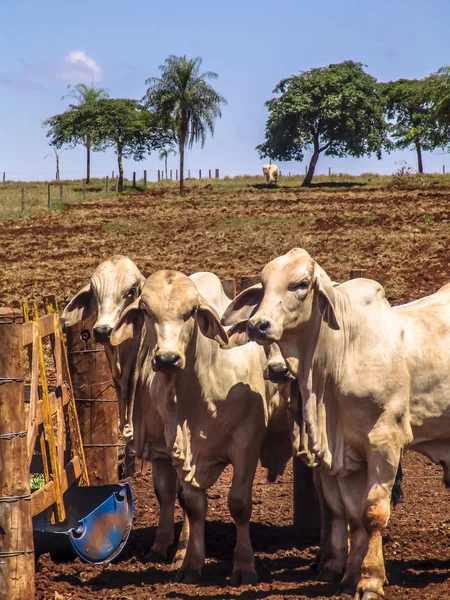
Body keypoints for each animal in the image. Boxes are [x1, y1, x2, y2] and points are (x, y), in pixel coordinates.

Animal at [61, 256, 186, 564]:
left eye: (131, 291)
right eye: (94, 292)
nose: (102, 330)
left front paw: (183, 552)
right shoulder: (157, 445)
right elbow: (165, 492)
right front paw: (160, 546)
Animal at [110, 272, 290, 584]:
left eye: (191, 312)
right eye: (146, 310)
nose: (167, 359)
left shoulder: (246, 443)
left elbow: (239, 503)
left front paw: (244, 566)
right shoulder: (178, 447)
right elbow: (193, 506)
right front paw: (191, 564)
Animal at [223, 246, 450, 596]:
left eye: (301, 284)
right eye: (264, 284)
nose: (258, 325)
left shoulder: (384, 444)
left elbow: (373, 512)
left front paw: (370, 581)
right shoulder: (347, 455)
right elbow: (353, 515)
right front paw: (349, 577)